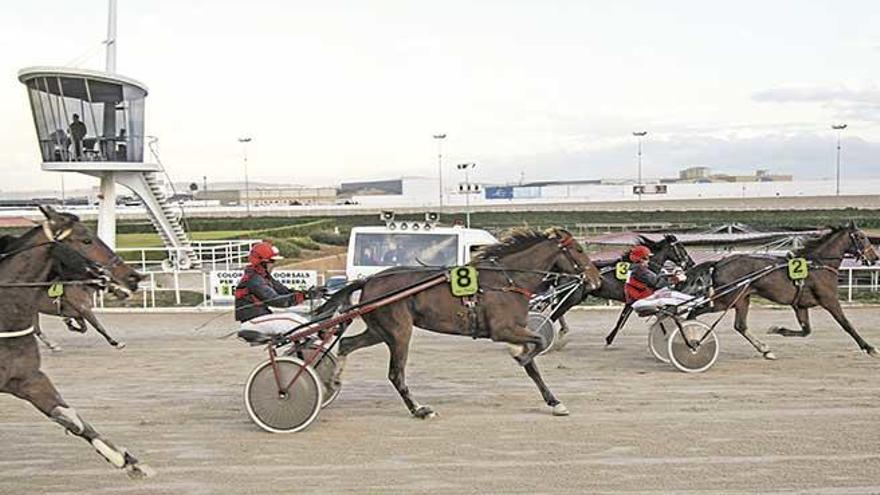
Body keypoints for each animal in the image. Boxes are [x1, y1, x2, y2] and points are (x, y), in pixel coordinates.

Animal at [0, 205, 150, 476]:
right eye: (86, 239)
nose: (133, 276)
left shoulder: (27, 378)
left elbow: (69, 416)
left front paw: (124, 459)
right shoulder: (82, 307)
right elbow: (96, 324)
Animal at [314, 229, 600, 418]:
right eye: (579, 250)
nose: (596, 280)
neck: (507, 280)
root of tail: (369, 280)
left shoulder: (515, 330)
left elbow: (534, 368)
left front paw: (554, 401)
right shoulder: (503, 330)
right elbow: (537, 343)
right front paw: (521, 357)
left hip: (379, 330)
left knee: (346, 343)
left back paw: (334, 381)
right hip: (399, 331)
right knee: (395, 373)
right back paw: (419, 409)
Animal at [552, 234, 696, 346]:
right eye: (681, 247)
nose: (691, 263)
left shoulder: (633, 301)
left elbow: (623, 319)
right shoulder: (637, 299)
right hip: (573, 297)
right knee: (556, 312)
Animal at [684, 223, 876, 358]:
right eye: (861, 237)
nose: (875, 257)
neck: (818, 265)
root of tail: (719, 263)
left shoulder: (800, 305)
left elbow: (806, 331)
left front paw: (777, 329)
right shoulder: (830, 301)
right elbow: (847, 325)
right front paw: (869, 348)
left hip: (741, 299)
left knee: (740, 326)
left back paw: (765, 350)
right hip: (725, 300)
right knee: (694, 312)